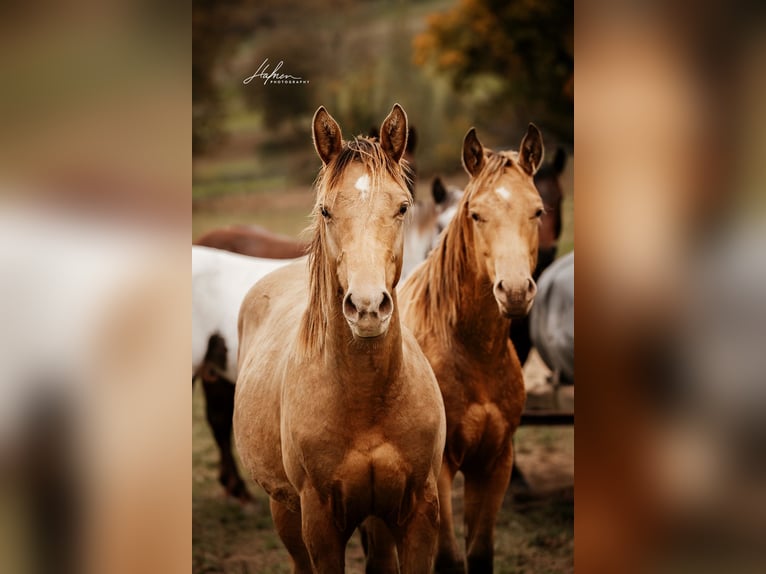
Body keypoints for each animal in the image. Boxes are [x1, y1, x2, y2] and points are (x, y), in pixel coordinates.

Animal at [233, 104, 446, 573]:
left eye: (402, 206)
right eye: (326, 210)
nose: (367, 307)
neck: (367, 402)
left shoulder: (418, 515)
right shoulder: (320, 524)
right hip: (286, 511)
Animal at [397, 124, 545, 573]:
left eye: (538, 211)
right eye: (477, 214)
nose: (514, 291)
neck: (473, 352)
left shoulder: (494, 463)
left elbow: (480, 553)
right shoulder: (442, 468)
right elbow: (448, 557)